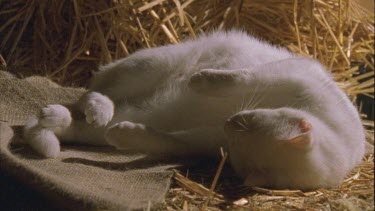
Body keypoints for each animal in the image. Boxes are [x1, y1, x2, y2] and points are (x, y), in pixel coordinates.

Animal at [22, 30, 364, 190]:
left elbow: (170, 141)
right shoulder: (294, 71)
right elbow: (239, 78)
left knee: (79, 121)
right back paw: (98, 107)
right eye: (248, 121)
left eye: (236, 145)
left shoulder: (205, 143)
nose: (229, 120)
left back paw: (64, 125)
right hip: (145, 66)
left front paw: (128, 136)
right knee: (94, 88)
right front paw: (202, 81)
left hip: (138, 111)